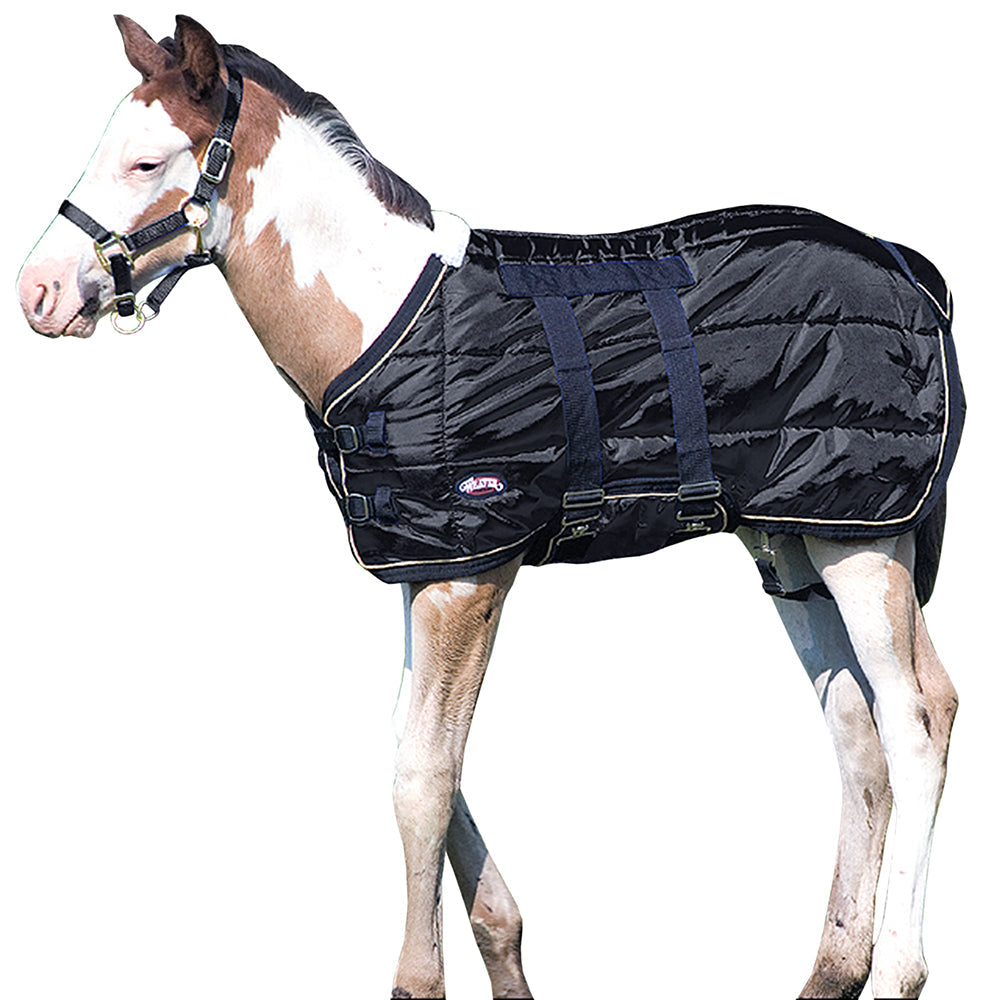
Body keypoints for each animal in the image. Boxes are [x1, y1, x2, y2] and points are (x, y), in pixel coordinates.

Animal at [16, 15, 962, 1000]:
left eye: (147, 161)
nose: (39, 292)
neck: (383, 315)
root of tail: (912, 270)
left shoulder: (471, 576)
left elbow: (423, 776)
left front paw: (416, 981)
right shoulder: (426, 563)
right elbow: (416, 751)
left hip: (864, 539)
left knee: (918, 717)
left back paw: (899, 968)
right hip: (792, 544)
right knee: (854, 730)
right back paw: (834, 968)